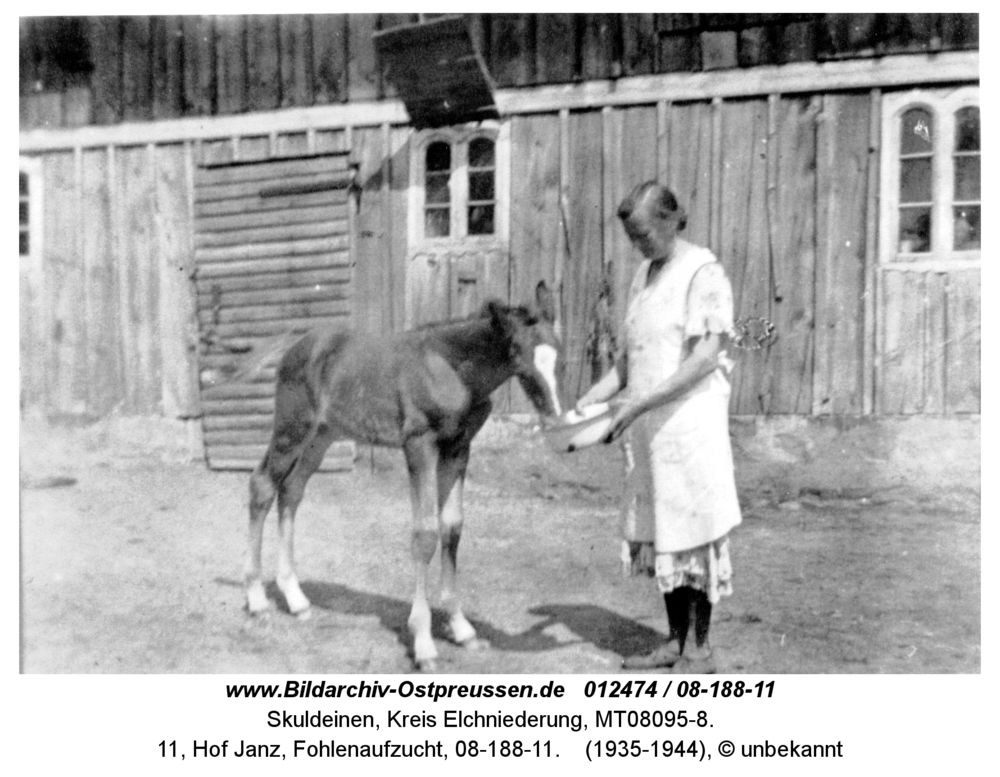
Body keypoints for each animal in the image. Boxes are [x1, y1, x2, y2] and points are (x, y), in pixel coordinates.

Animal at [244, 282, 564, 668]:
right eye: (517, 353)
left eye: (559, 352)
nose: (555, 416)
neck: (453, 370)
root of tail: (298, 343)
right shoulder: (419, 445)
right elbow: (425, 534)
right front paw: (424, 643)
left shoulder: (458, 448)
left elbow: (452, 527)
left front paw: (461, 628)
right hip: (292, 428)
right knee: (263, 486)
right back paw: (257, 600)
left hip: (323, 435)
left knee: (291, 491)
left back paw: (295, 598)